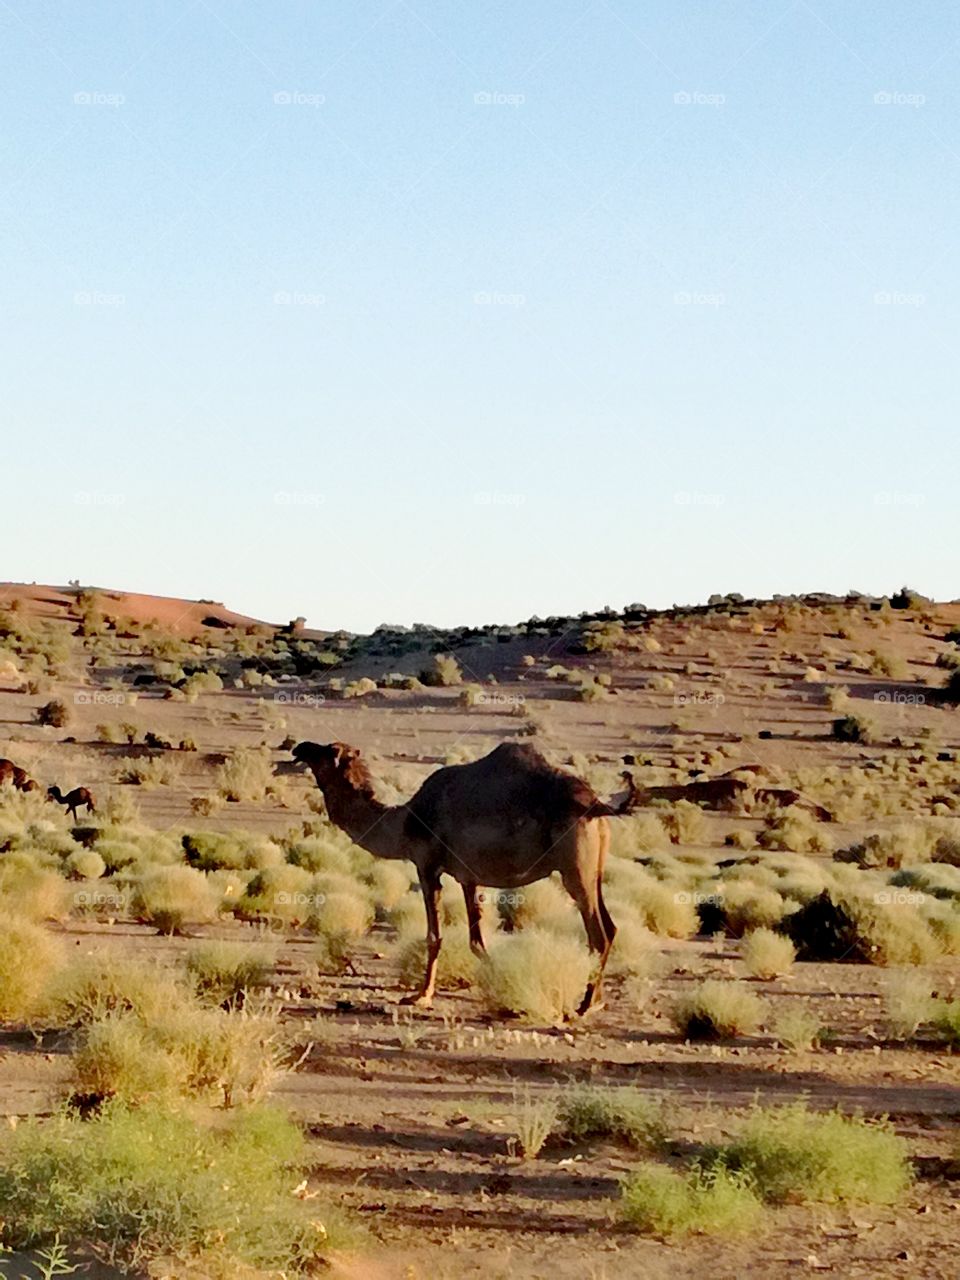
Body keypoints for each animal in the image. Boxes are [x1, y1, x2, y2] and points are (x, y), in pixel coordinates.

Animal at [292, 740, 639, 1013]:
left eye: (328, 751)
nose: (300, 747)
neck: (404, 821)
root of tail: (595, 805)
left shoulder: (426, 866)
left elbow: (434, 936)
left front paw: (421, 996)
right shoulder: (468, 877)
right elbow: (477, 941)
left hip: (574, 869)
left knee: (598, 934)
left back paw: (583, 1005)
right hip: (594, 868)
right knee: (610, 927)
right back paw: (597, 1000)